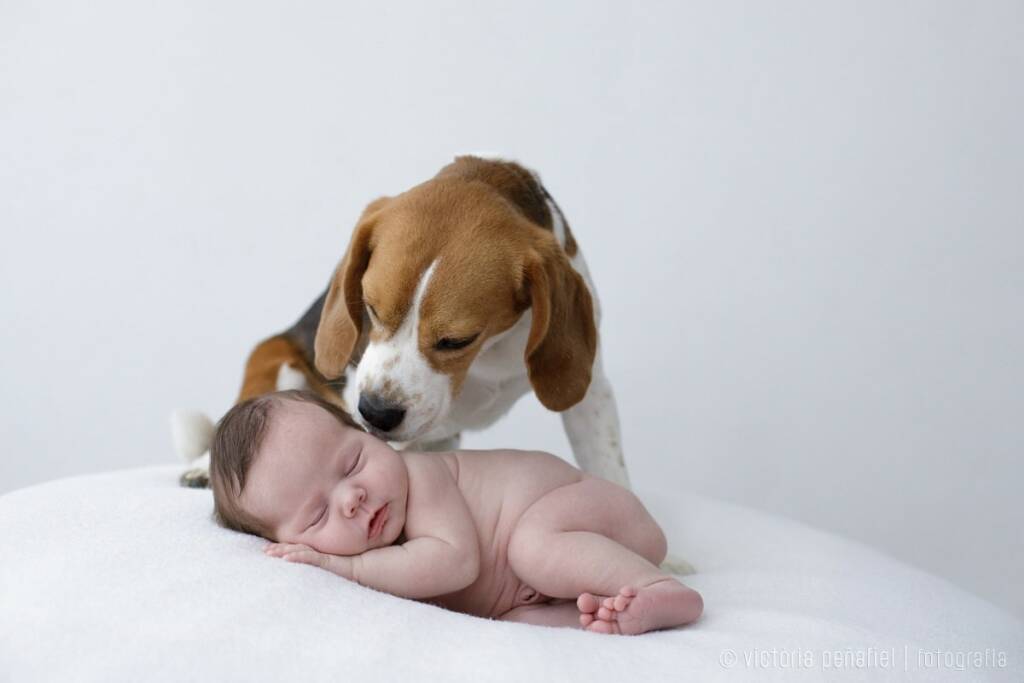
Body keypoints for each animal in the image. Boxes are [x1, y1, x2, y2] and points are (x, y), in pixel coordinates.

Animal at [183, 156, 626, 485]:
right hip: (275, 358)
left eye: (457, 340)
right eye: (371, 309)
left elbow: (609, 471)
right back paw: (204, 467)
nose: (375, 413)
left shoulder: (591, 392)